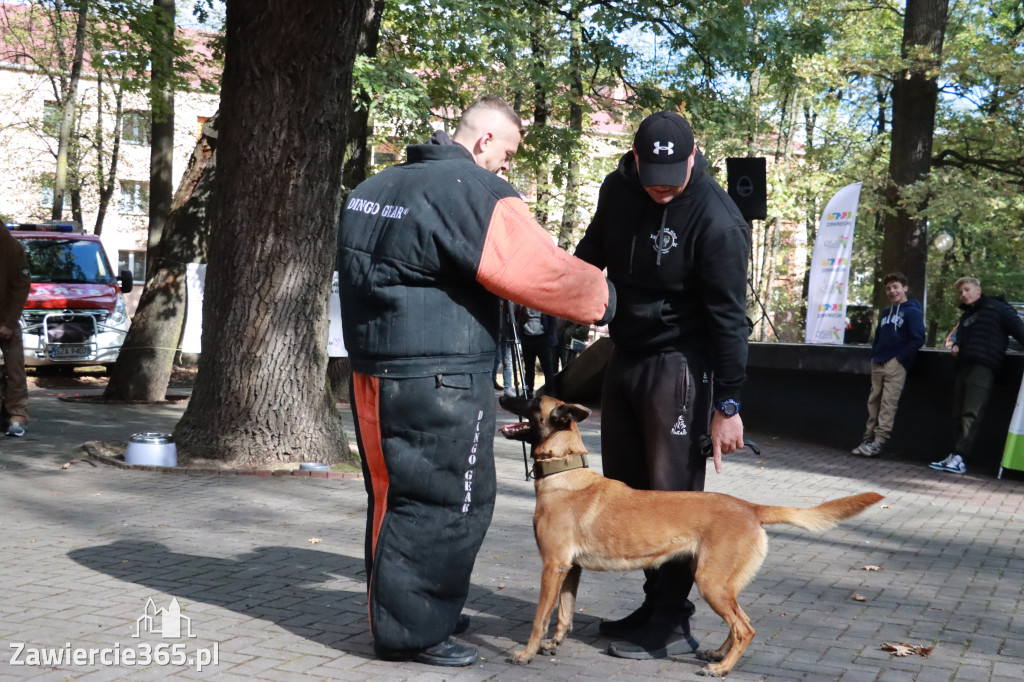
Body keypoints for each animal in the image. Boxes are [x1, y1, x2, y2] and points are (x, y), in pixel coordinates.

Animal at [499, 393, 884, 675]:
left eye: (533, 400)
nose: (502, 393)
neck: (564, 472)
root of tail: (750, 507)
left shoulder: (552, 567)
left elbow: (540, 618)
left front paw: (526, 653)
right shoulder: (570, 569)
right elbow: (563, 614)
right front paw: (554, 644)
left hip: (711, 582)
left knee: (746, 628)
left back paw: (723, 668)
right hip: (720, 583)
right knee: (739, 623)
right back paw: (717, 654)